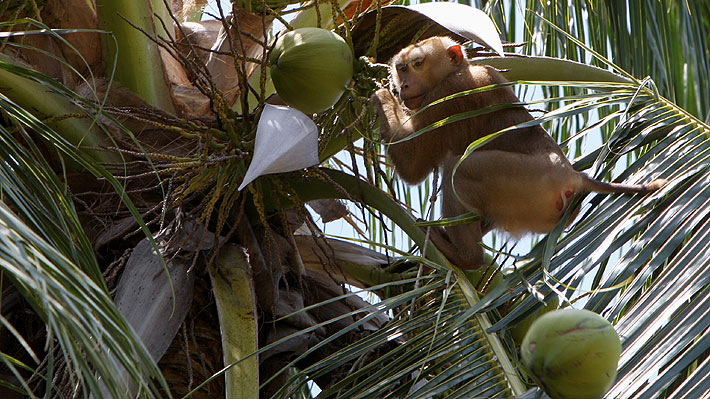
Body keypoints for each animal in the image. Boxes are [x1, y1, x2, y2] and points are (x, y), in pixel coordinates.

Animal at [372, 37, 668, 270]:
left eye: (416, 64)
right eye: (401, 68)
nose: (403, 85)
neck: (462, 69)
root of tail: (574, 176)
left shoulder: (451, 93)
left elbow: (412, 166)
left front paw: (378, 95)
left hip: (526, 181)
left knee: (459, 169)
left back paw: (466, 257)